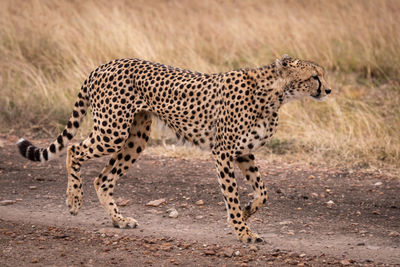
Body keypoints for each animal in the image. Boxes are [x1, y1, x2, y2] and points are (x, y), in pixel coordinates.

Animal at [17, 55, 332, 244]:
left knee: (103, 178)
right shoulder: (223, 151)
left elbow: (263, 192)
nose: (328, 90)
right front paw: (242, 231)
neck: (275, 93)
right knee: (74, 150)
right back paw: (74, 200)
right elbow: (231, 195)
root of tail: (106, 63)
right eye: (314, 76)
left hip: (136, 137)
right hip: (112, 131)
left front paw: (245, 213)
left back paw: (119, 220)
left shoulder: (243, 152)